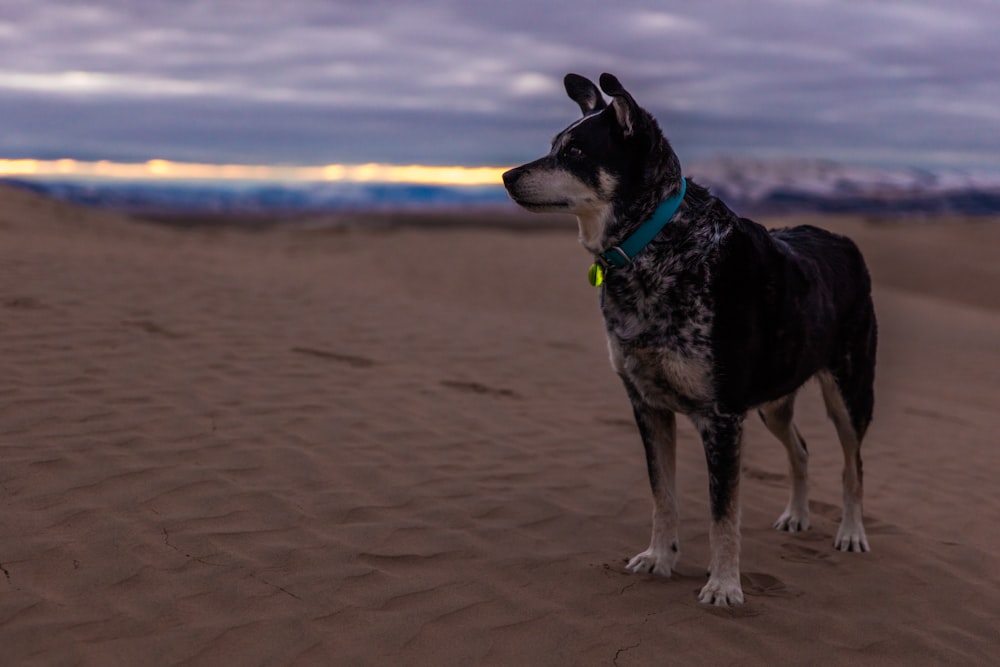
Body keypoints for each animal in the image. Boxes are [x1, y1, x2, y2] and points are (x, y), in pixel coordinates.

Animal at [500, 73, 876, 604]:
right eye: (553, 145)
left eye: (574, 152)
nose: (507, 176)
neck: (651, 246)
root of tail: (845, 242)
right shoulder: (647, 404)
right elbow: (663, 494)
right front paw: (659, 558)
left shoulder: (722, 417)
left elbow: (724, 513)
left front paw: (723, 585)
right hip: (773, 399)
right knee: (800, 448)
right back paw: (797, 516)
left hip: (849, 389)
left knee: (853, 463)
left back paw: (851, 532)